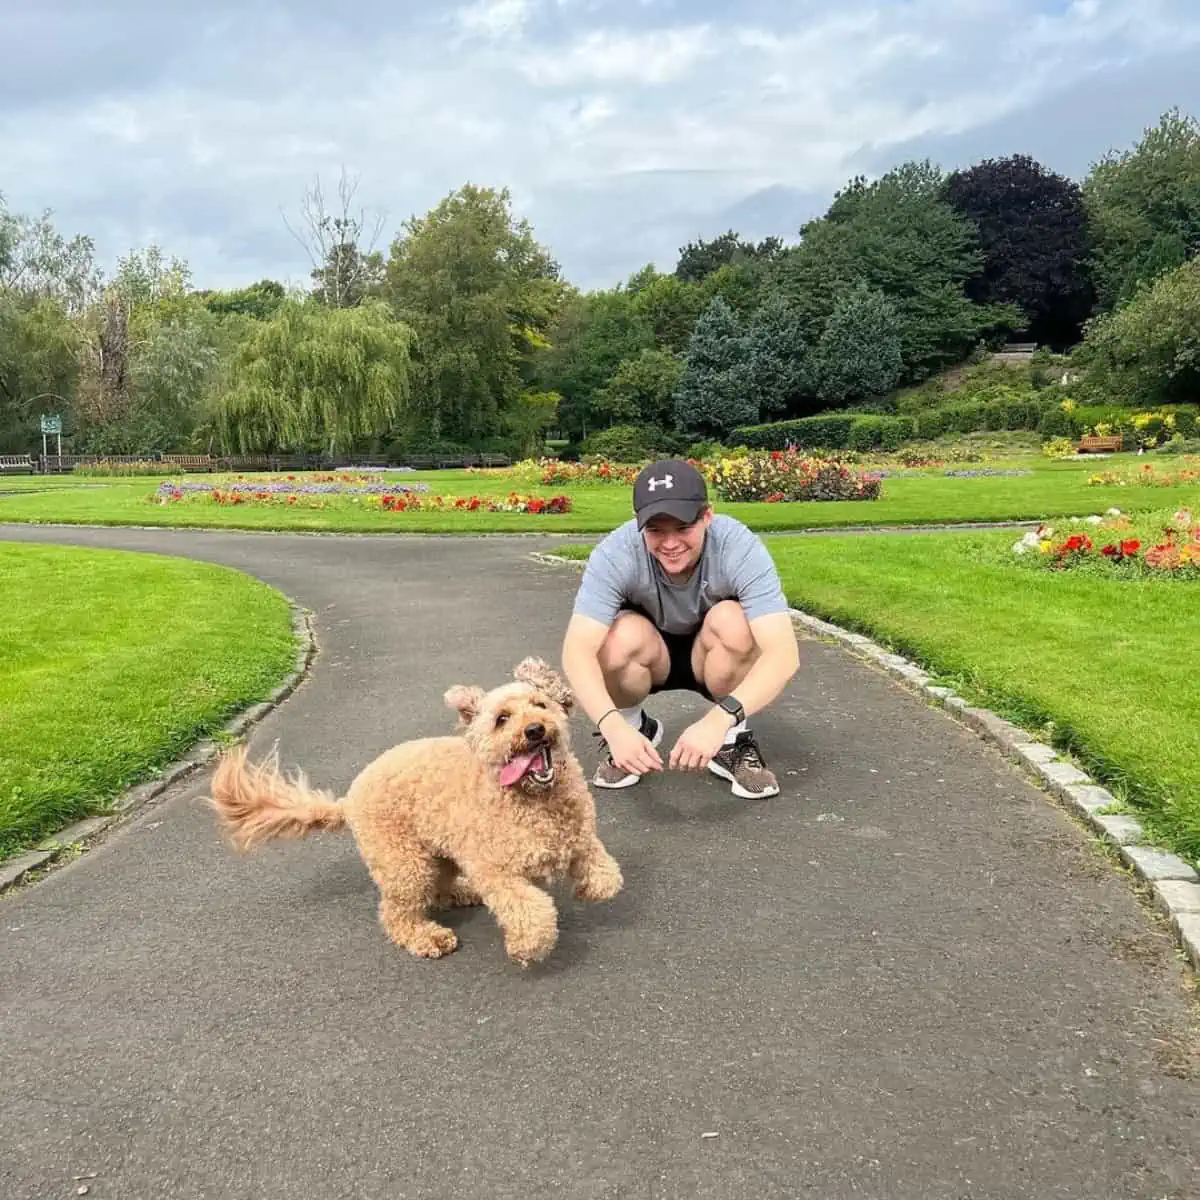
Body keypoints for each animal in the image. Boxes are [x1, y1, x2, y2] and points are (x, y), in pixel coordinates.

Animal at [206, 657, 624, 964]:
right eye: (502, 719)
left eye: (541, 705)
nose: (535, 730)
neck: (535, 798)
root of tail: (349, 799)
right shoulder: (497, 872)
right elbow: (532, 912)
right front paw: (526, 947)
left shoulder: (581, 838)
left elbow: (606, 876)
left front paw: (587, 887)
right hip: (404, 861)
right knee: (397, 911)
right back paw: (427, 937)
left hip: (436, 850)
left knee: (438, 887)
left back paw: (460, 894)